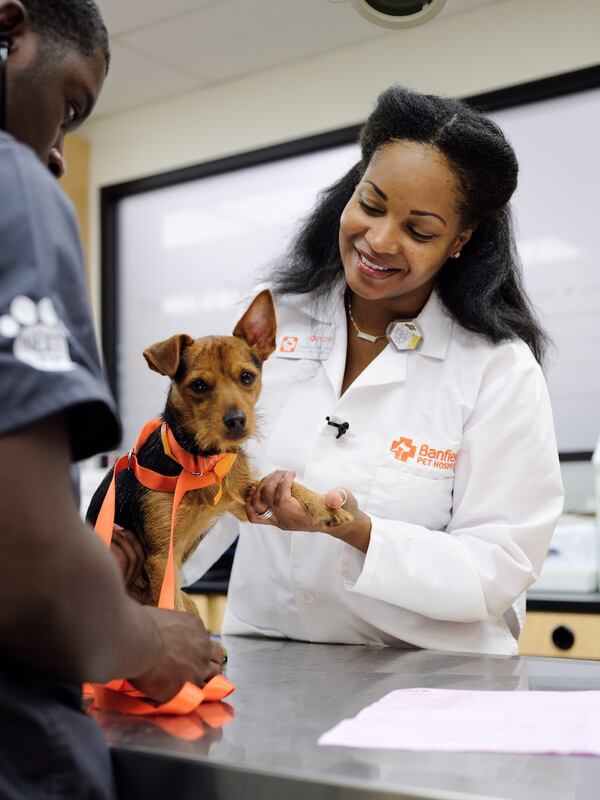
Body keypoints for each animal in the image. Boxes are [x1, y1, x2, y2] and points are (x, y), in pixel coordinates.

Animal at [87, 290, 354, 616]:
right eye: (199, 385)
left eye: (247, 377)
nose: (237, 421)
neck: (198, 459)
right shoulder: (162, 557)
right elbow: (173, 607)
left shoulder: (239, 496)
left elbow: (286, 483)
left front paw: (325, 506)